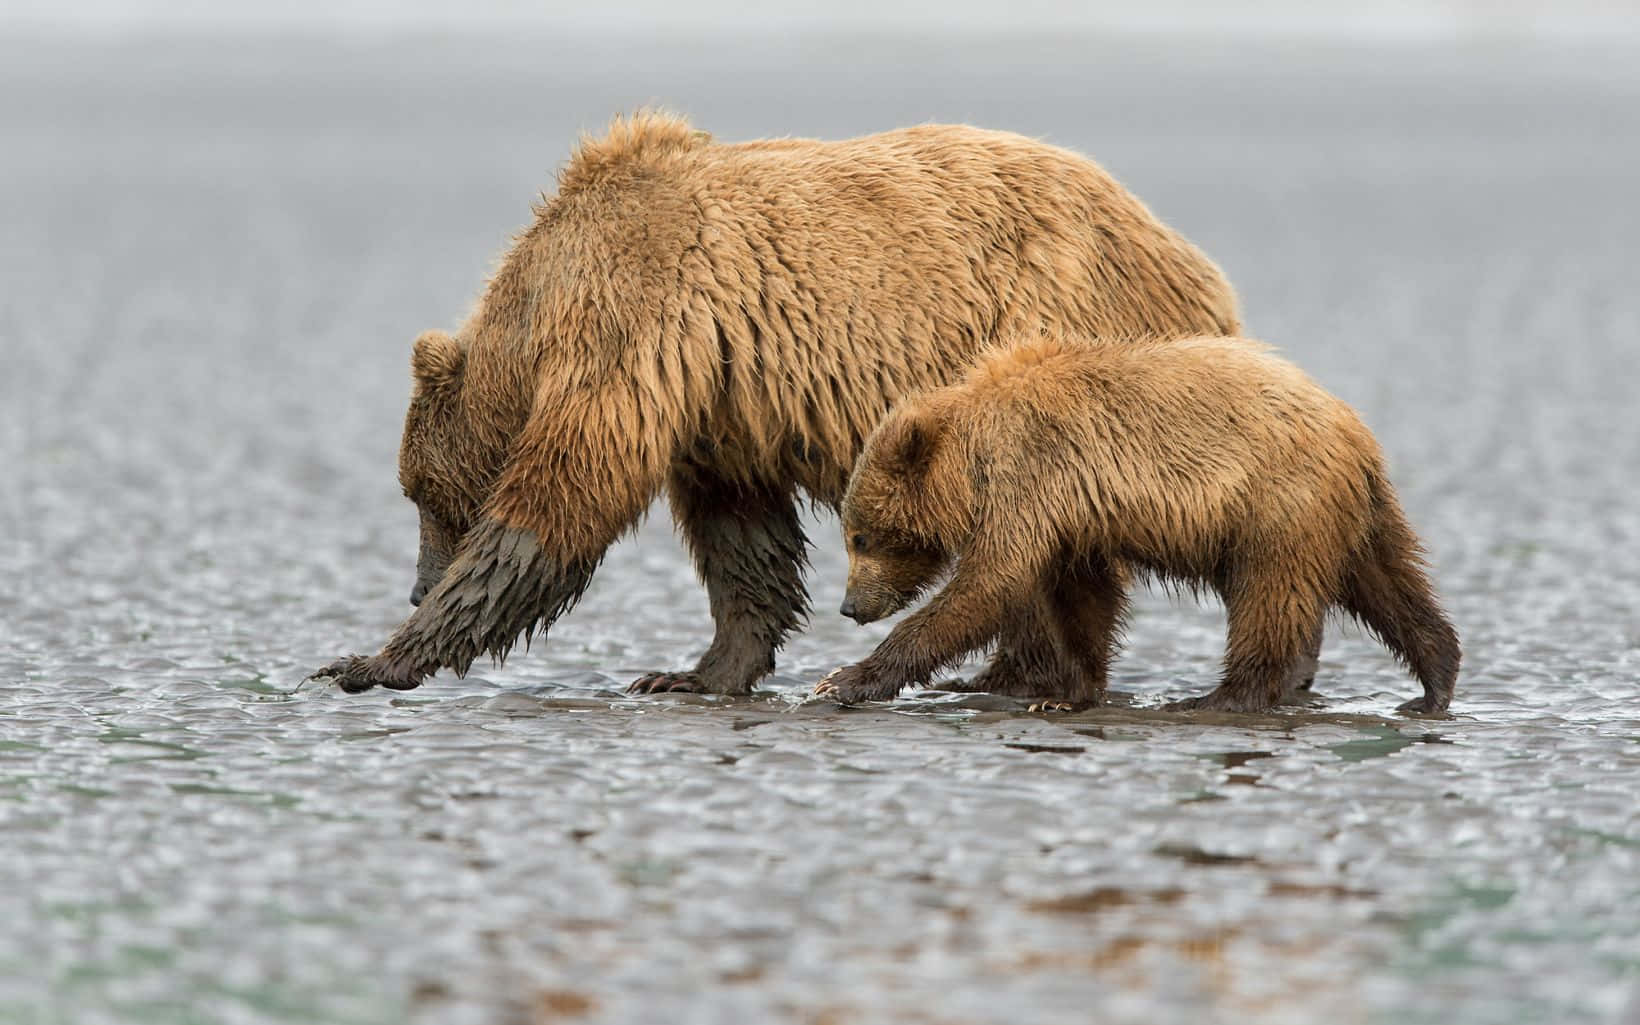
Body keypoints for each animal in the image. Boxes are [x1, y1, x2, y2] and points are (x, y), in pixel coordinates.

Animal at [308, 112, 1242, 698]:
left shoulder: (628, 329)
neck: (542, 304)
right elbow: (740, 538)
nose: (415, 587)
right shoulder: (716, 399)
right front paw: (694, 671)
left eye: (421, 494)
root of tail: (1194, 264)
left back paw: (1017, 671)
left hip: (1055, 340)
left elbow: (559, 503)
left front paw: (368, 660)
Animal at [813, 333, 1459, 715]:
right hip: (1351, 513)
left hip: (1278, 504)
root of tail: (1356, 432)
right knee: (1391, 585)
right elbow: (1080, 596)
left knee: (1270, 598)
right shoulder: (1074, 517)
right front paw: (1070, 692)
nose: (849, 606)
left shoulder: (1027, 476)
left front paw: (843, 680)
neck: (970, 456)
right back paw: (1436, 680)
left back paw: (1219, 697)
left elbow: (988, 585)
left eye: (859, 537)